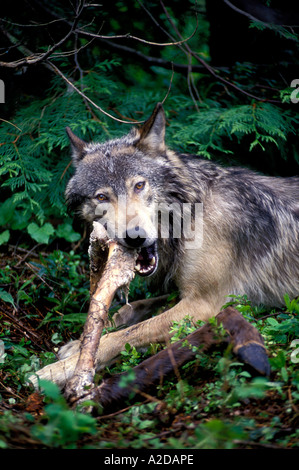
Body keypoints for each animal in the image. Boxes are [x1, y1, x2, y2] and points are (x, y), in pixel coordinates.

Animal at [32, 102, 299, 386]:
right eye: (102, 197)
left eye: (139, 185)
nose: (134, 236)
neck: (190, 214)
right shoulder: (182, 293)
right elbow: (126, 311)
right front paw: (79, 344)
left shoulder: (205, 303)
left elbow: (123, 335)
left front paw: (58, 370)